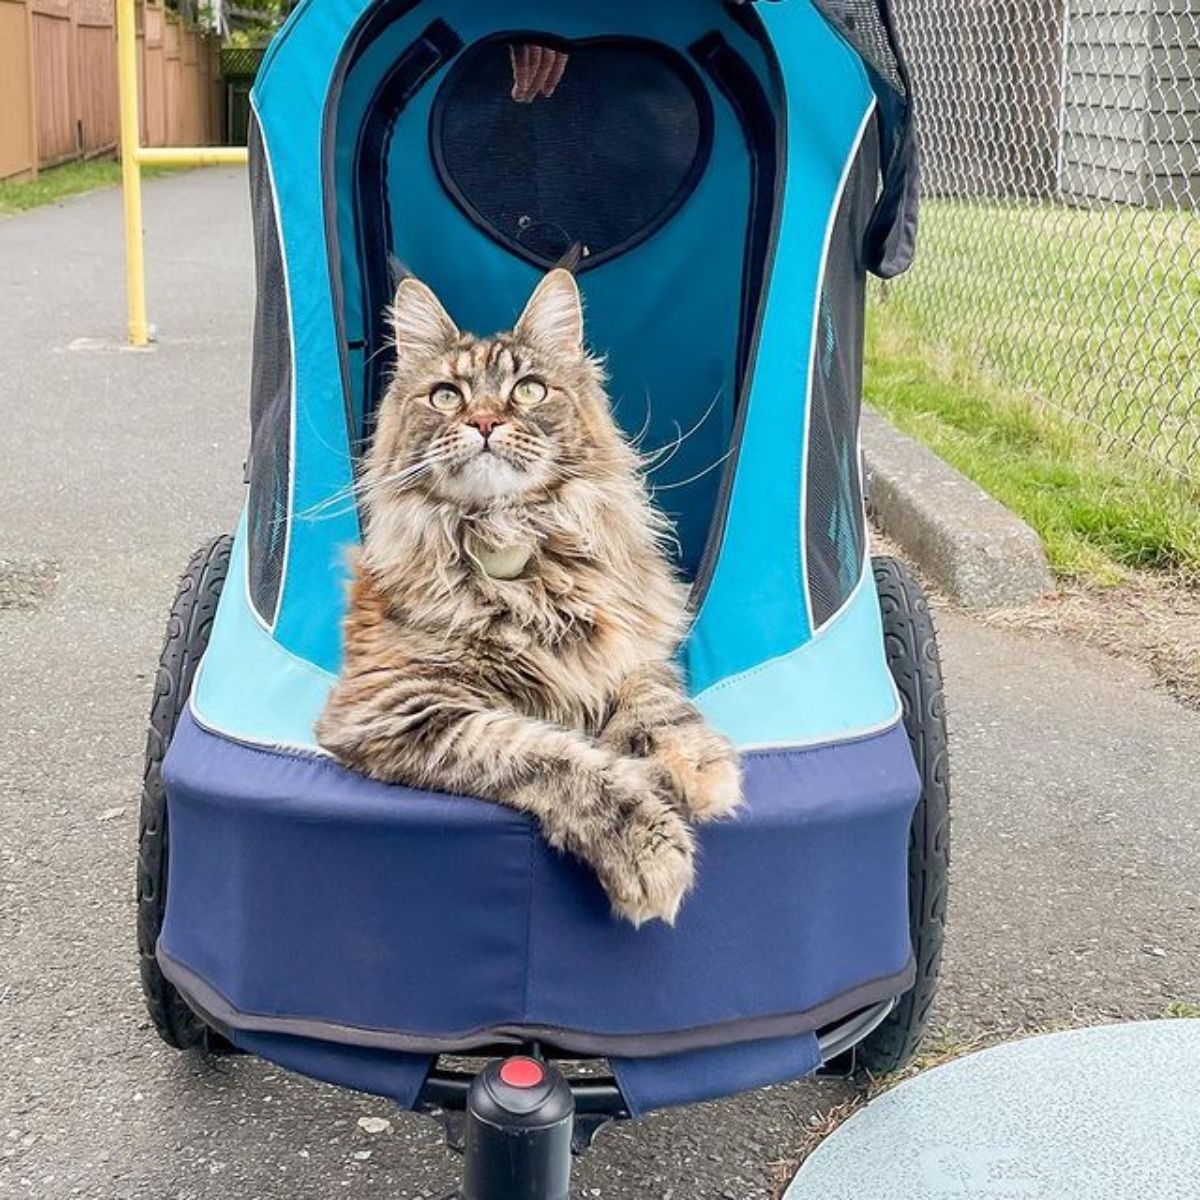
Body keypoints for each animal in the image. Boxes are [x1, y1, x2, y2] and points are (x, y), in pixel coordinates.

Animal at [314, 274, 734, 926]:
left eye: (529, 390)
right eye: (446, 397)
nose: (485, 422)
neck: (513, 547)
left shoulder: (631, 645)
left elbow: (657, 702)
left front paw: (699, 765)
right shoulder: (397, 704)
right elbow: (548, 754)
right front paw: (646, 841)